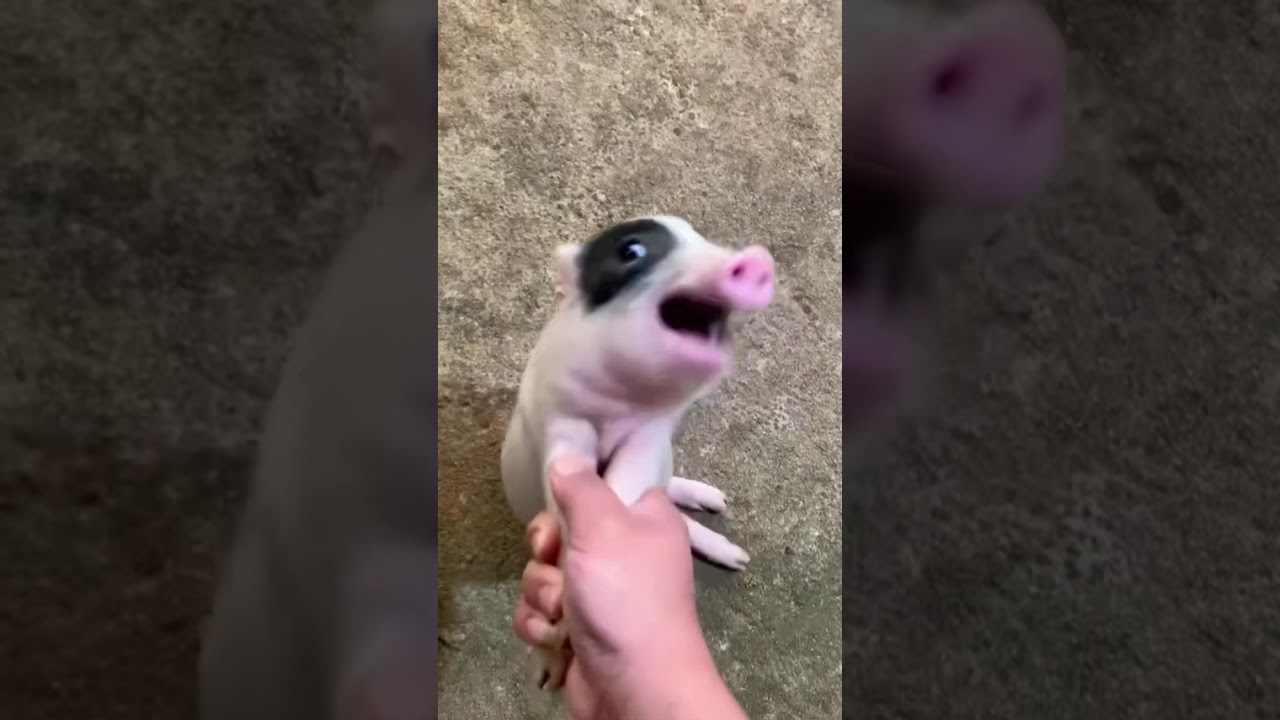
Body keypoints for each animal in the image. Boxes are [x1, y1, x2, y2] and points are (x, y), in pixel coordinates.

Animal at [500, 215, 776, 689]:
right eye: (631, 251)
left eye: (702, 237)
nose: (756, 260)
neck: (618, 409)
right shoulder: (562, 427)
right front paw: (546, 670)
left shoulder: (650, 436)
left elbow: (625, 484)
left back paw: (727, 527)